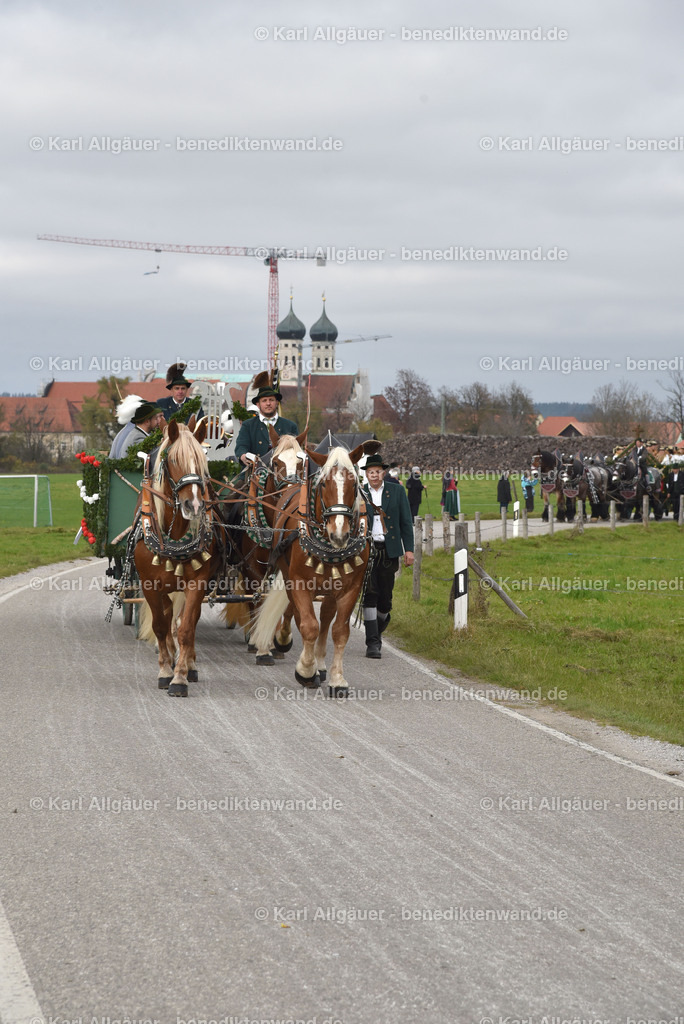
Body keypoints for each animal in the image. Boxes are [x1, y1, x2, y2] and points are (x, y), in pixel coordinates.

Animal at [135, 415, 225, 696]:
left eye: (203, 463)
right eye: (174, 460)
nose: (193, 505)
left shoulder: (197, 583)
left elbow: (185, 628)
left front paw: (180, 677)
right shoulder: (150, 585)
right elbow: (160, 626)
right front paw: (166, 670)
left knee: (188, 621)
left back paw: (189, 664)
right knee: (166, 619)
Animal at [222, 425, 307, 659]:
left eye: (302, 462)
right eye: (276, 462)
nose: (291, 490)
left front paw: (275, 641)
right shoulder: (252, 568)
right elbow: (257, 598)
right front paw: (259, 644)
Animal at [249, 440, 378, 696]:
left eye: (354, 483)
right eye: (324, 483)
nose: (339, 534)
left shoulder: (350, 588)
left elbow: (339, 631)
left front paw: (337, 678)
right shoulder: (299, 582)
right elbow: (308, 625)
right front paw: (305, 672)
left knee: (326, 617)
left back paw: (320, 664)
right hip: (288, 574)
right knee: (298, 614)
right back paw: (286, 643)